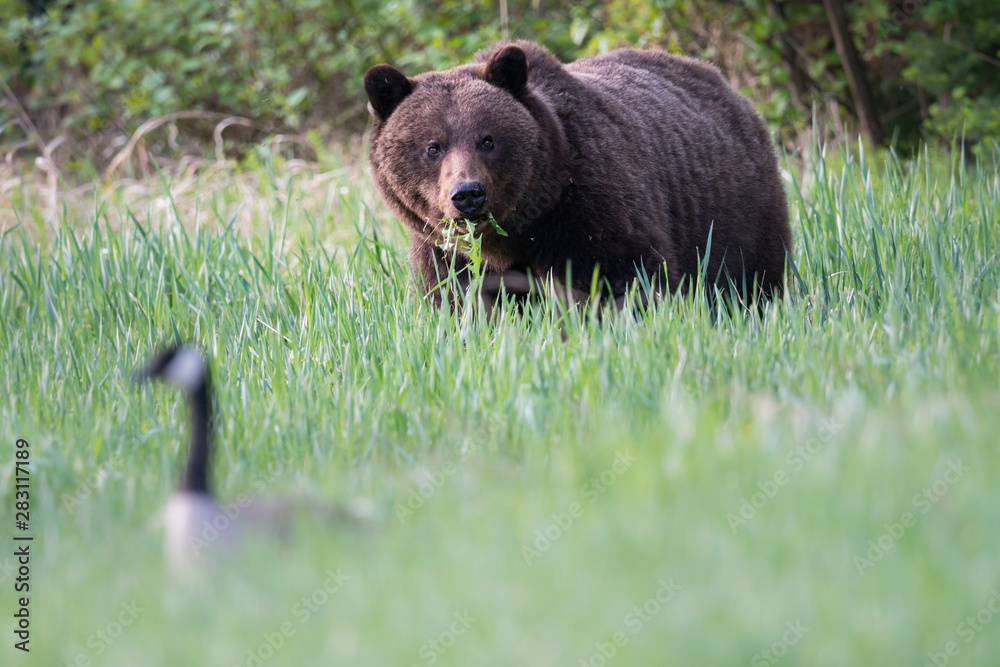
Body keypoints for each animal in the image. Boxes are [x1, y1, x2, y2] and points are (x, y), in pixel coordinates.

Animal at [364, 41, 792, 308]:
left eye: (487, 140)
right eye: (433, 147)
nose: (468, 194)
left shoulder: (586, 210)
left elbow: (621, 278)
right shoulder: (444, 251)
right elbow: (456, 301)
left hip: (735, 212)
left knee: (750, 278)